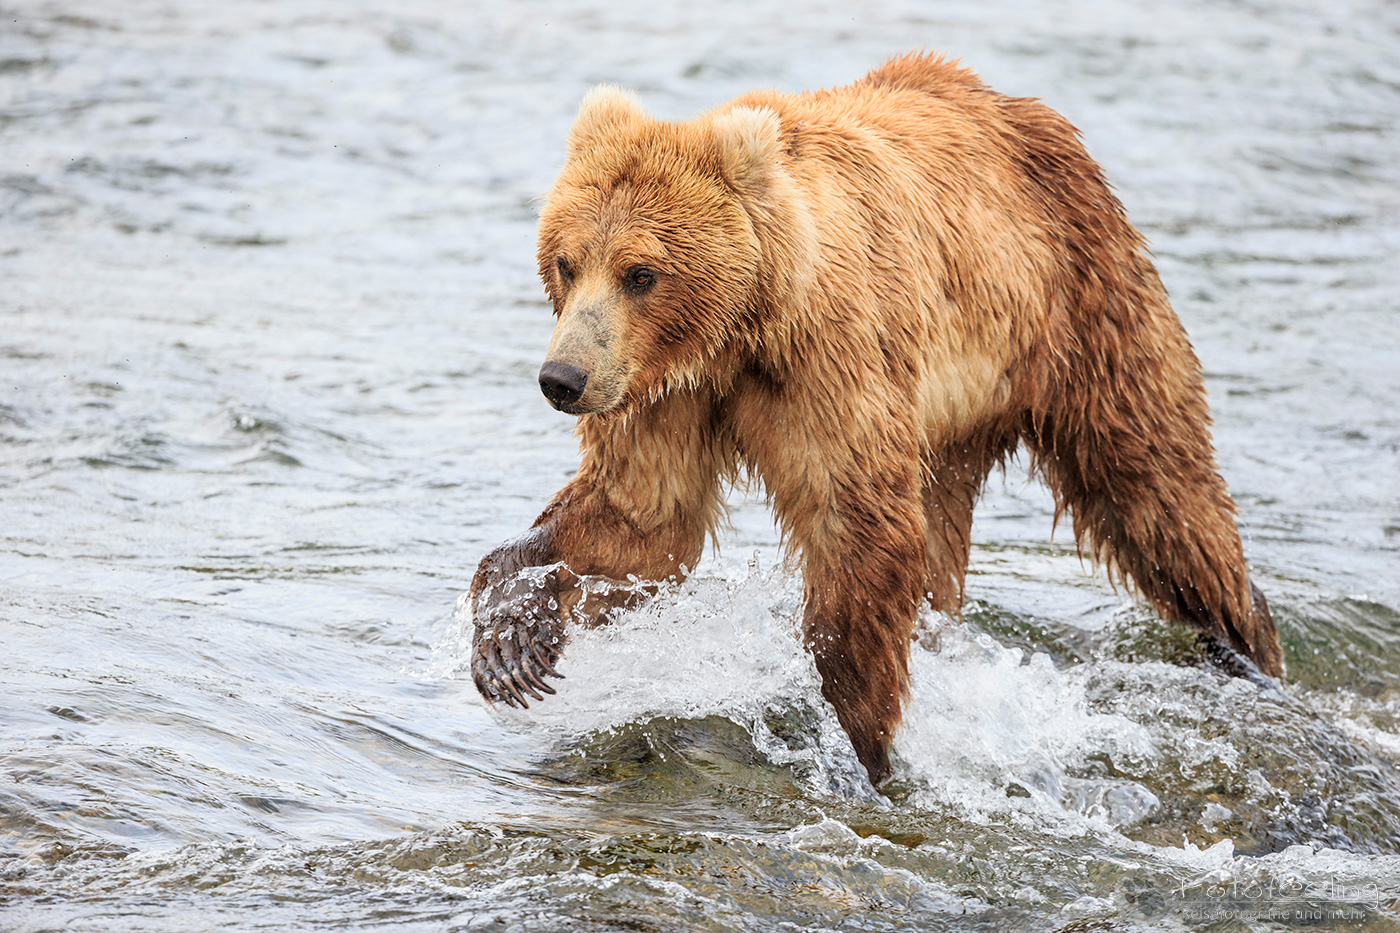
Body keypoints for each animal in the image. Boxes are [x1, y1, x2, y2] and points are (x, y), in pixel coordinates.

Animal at [469, 52, 1283, 787]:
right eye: (567, 261)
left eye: (641, 273)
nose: (563, 379)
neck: (740, 331)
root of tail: (1025, 110)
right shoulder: (666, 394)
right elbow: (644, 516)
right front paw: (513, 638)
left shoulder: (831, 361)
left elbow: (857, 528)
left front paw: (863, 739)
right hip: (950, 429)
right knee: (946, 539)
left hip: (1086, 308)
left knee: (1159, 488)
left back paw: (1246, 644)